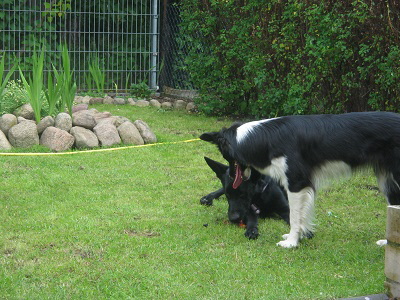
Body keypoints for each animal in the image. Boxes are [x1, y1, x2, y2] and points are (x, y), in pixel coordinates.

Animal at [202, 112, 400, 248]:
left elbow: (294, 215)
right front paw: (302, 235)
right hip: (389, 183)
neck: (263, 138)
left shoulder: (296, 183)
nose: (231, 175)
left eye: (226, 155)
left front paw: (291, 242)